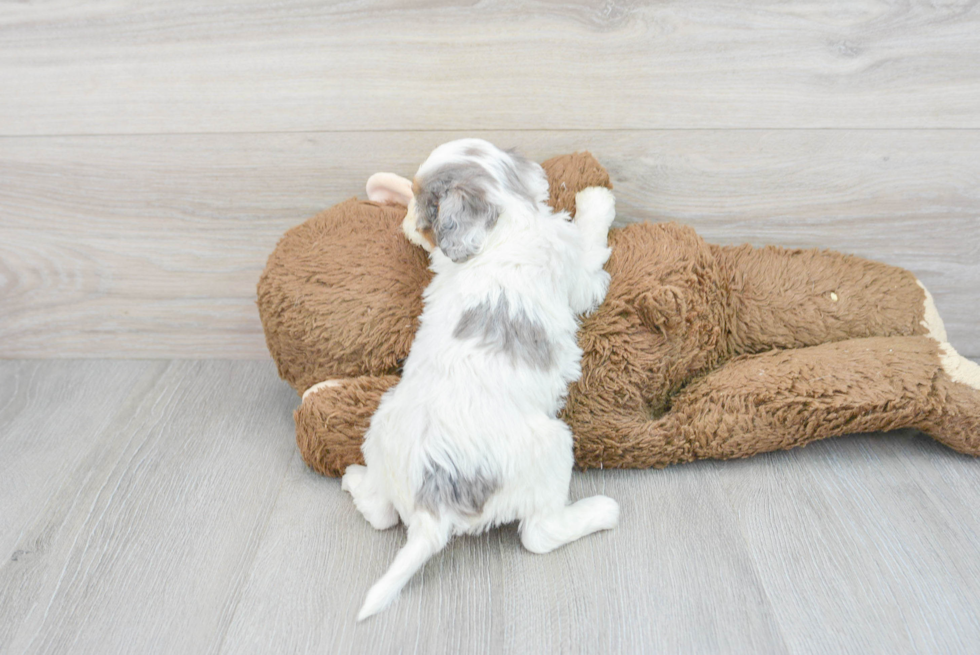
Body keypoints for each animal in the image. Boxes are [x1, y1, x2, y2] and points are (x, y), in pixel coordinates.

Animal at [346, 138, 620, 620]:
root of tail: (433, 508)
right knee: (539, 534)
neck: (506, 219)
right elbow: (590, 247)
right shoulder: (577, 271)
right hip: (552, 446)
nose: (406, 220)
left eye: (425, 206)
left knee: (381, 511)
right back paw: (602, 511)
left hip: (382, 424)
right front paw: (596, 201)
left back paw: (352, 479)